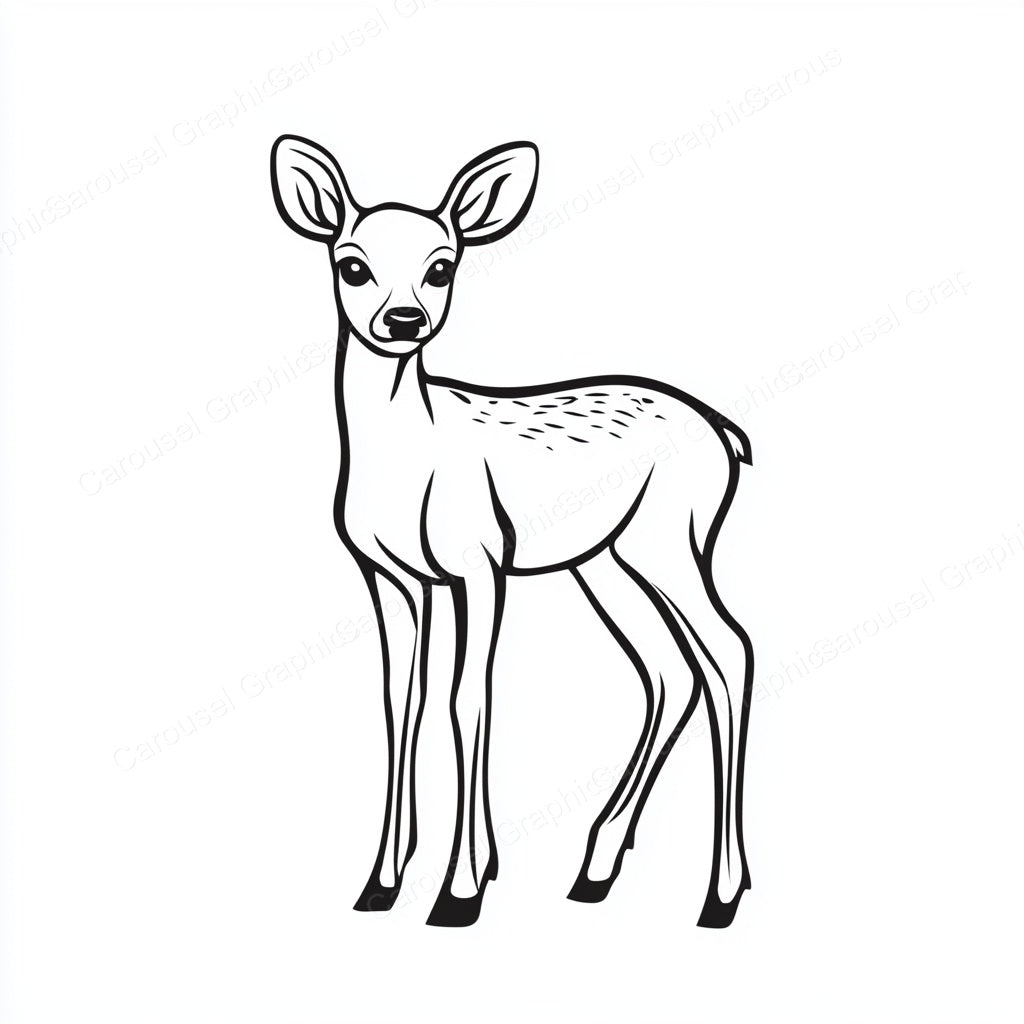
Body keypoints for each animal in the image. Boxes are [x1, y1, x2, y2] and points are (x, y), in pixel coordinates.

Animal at [270, 135, 754, 928]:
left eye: (442, 265)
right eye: (352, 263)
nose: (403, 319)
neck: (409, 458)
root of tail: (725, 434)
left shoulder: (479, 561)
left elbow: (468, 699)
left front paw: (460, 890)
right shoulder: (393, 576)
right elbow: (401, 702)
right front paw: (382, 883)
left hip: (671, 538)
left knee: (729, 651)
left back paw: (719, 894)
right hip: (605, 560)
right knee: (669, 668)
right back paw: (594, 870)